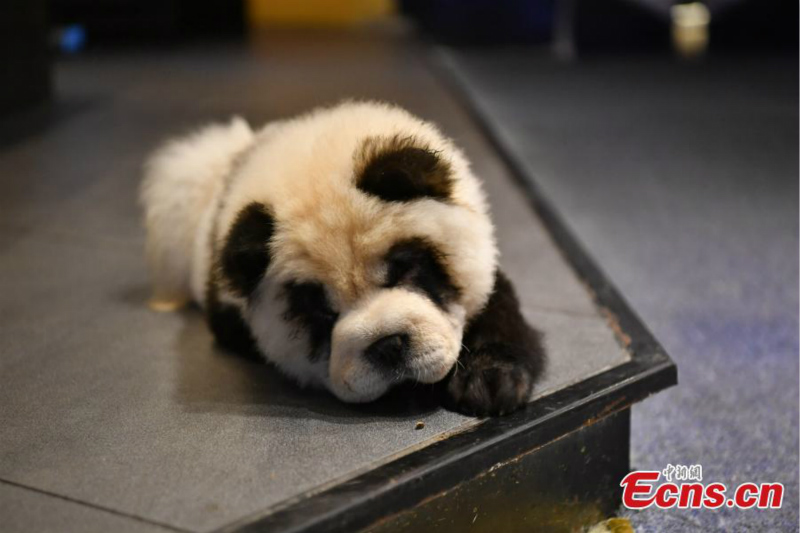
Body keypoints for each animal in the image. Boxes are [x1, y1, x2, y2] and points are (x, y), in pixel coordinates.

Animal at [140, 101, 545, 416]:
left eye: (406, 270)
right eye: (320, 309)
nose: (388, 346)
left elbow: (497, 304)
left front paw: (489, 380)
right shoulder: (230, 312)